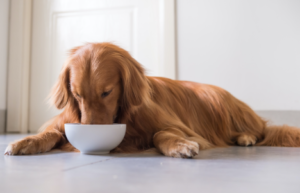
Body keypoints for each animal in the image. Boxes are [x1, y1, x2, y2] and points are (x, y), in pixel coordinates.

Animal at [4, 43, 300, 158]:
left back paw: (246, 137)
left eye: (106, 92)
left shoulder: (175, 126)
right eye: (76, 95)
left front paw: (178, 145)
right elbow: (51, 133)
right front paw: (22, 143)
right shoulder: (64, 121)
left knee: (260, 130)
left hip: (219, 101)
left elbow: (161, 133)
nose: (91, 131)